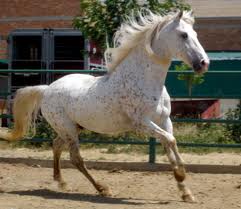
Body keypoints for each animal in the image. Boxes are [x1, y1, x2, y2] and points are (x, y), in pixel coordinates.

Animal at [0, 10, 209, 202]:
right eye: (184, 35)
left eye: (195, 34)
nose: (204, 63)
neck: (144, 80)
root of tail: (46, 89)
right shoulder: (142, 124)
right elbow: (170, 140)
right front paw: (181, 175)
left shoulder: (164, 120)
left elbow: (169, 143)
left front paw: (185, 192)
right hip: (68, 129)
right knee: (75, 158)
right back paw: (102, 188)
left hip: (73, 128)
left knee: (56, 145)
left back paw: (61, 182)